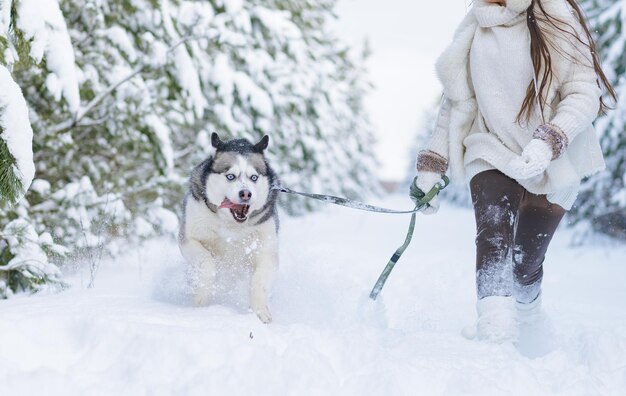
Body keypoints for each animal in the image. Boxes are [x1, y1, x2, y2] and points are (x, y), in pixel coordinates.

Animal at [179, 133, 280, 324]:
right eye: (231, 176)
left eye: (254, 177)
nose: (246, 193)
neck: (231, 225)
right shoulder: (189, 239)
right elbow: (208, 264)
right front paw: (201, 297)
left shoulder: (266, 249)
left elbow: (259, 280)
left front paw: (259, 311)